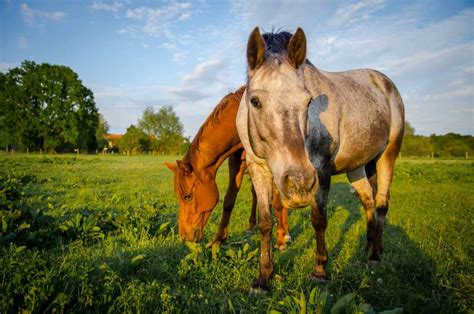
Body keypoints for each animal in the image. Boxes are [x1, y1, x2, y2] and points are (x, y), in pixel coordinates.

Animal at [165, 86, 290, 248]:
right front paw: (217, 240)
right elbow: (229, 200)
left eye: (187, 197)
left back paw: (285, 233)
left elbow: (277, 202)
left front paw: (280, 239)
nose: (184, 237)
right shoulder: (237, 161)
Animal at [236, 27, 404, 292]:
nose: (298, 183)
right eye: (255, 101)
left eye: (308, 101)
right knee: (368, 202)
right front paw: (264, 278)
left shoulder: (321, 169)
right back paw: (367, 249)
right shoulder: (257, 169)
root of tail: (384, 83)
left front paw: (320, 270)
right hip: (357, 167)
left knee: (381, 204)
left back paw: (376, 256)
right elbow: (265, 222)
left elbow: (318, 219)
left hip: (388, 155)